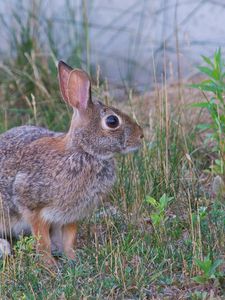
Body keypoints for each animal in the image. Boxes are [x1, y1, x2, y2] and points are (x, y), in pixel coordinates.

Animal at [0, 61, 144, 264]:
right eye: (112, 121)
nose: (141, 136)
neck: (83, 151)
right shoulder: (33, 207)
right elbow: (42, 240)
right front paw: (50, 264)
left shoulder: (71, 216)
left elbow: (69, 238)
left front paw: (72, 257)